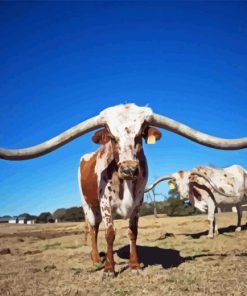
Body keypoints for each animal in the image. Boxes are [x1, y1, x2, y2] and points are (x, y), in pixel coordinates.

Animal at [0, 103, 247, 276]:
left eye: (140, 134)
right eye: (111, 136)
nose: (129, 169)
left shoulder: (138, 203)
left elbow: (132, 232)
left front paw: (135, 264)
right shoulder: (104, 204)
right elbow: (109, 233)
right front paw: (110, 269)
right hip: (88, 206)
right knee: (93, 230)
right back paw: (96, 259)